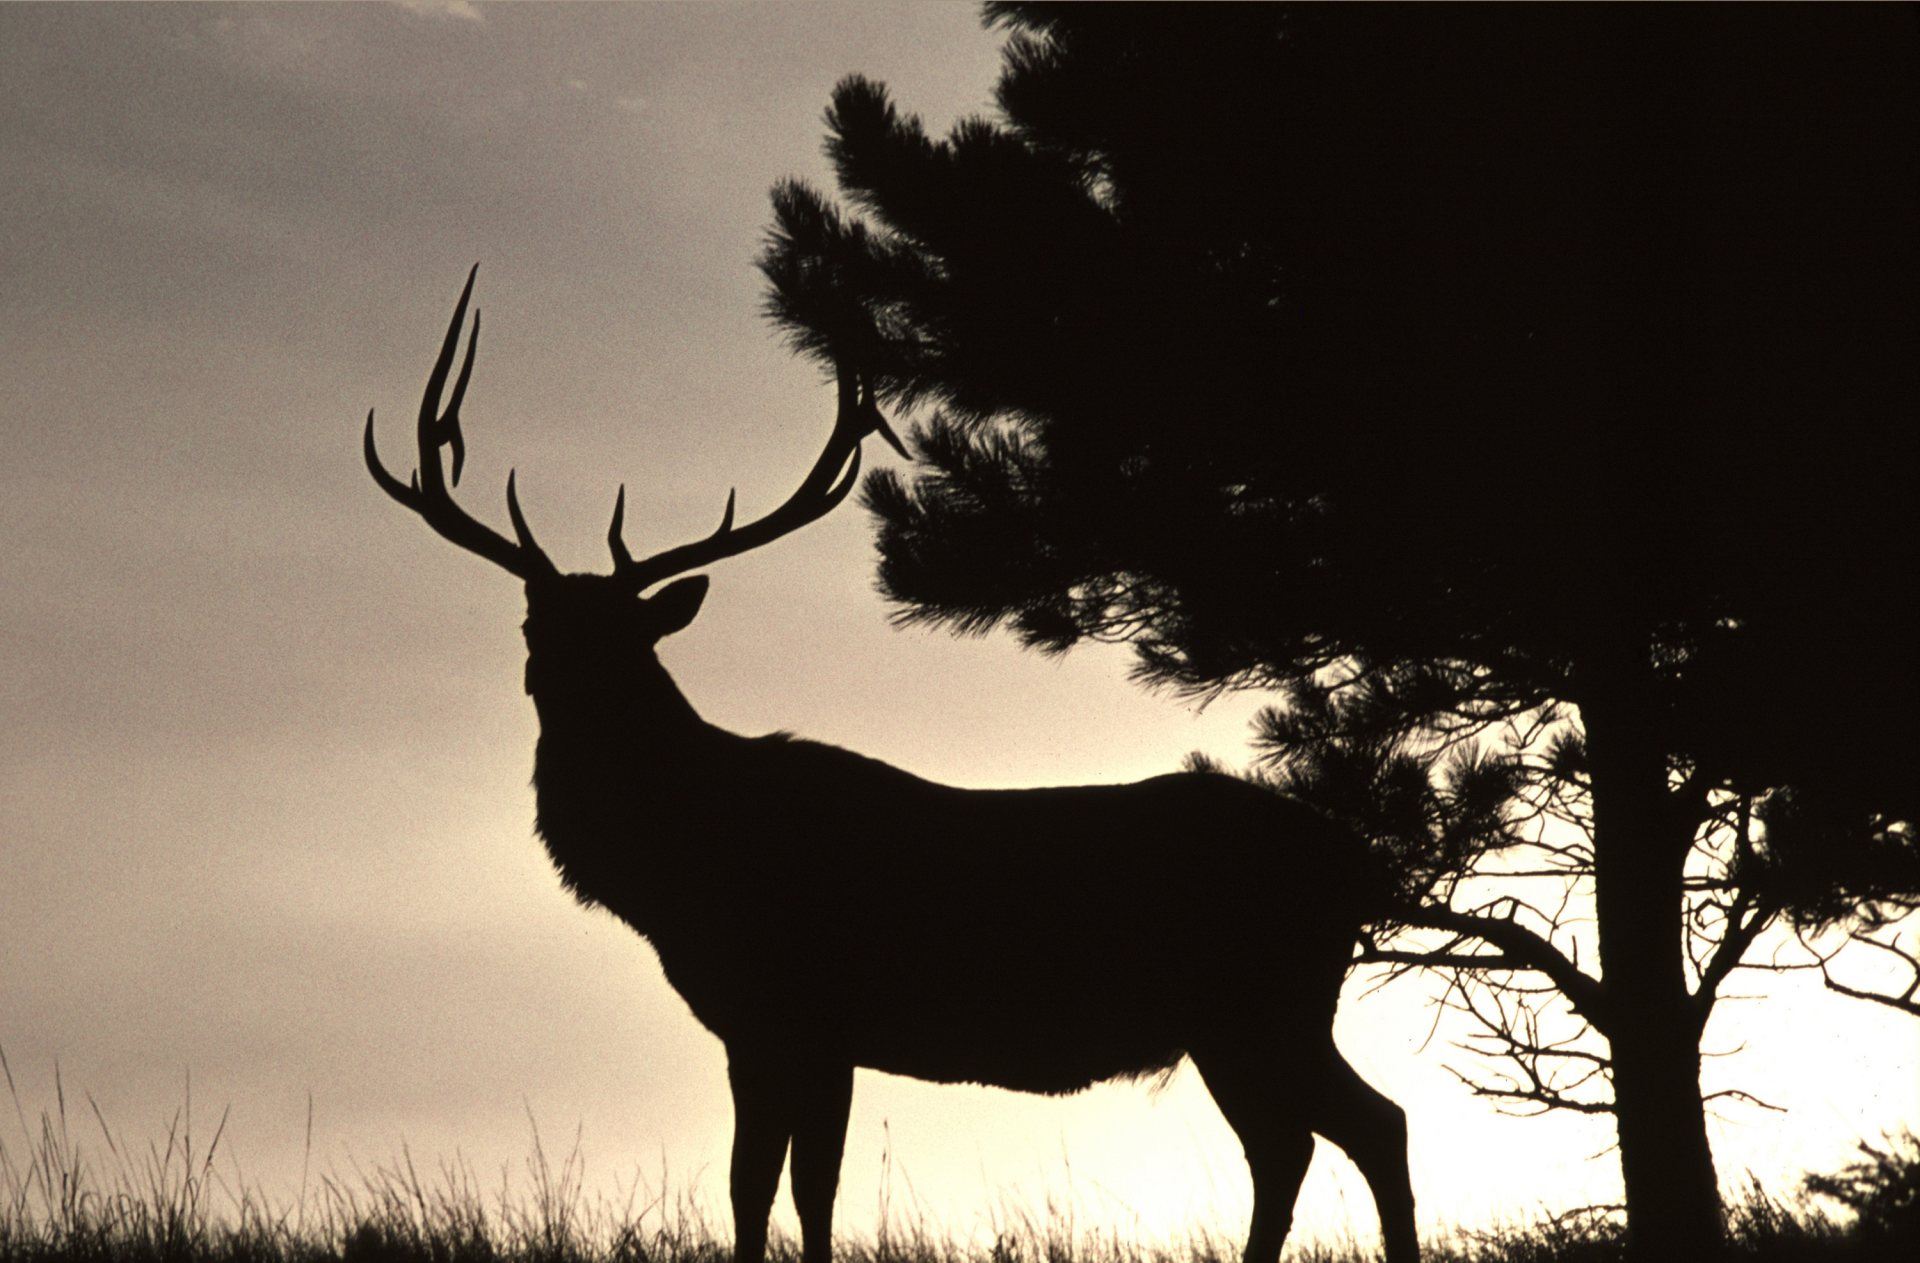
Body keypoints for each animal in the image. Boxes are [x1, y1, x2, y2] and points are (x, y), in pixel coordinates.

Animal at [366, 270, 1420, 1259]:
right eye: (535, 625)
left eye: (630, 637)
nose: (558, 684)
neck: (685, 870)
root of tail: (1362, 862)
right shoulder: (766, 1030)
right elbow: (764, 1187)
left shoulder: (810, 1013)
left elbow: (794, 1188)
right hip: (1251, 1015)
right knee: (1320, 1138)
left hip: (1263, 1003)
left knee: (1357, 1128)